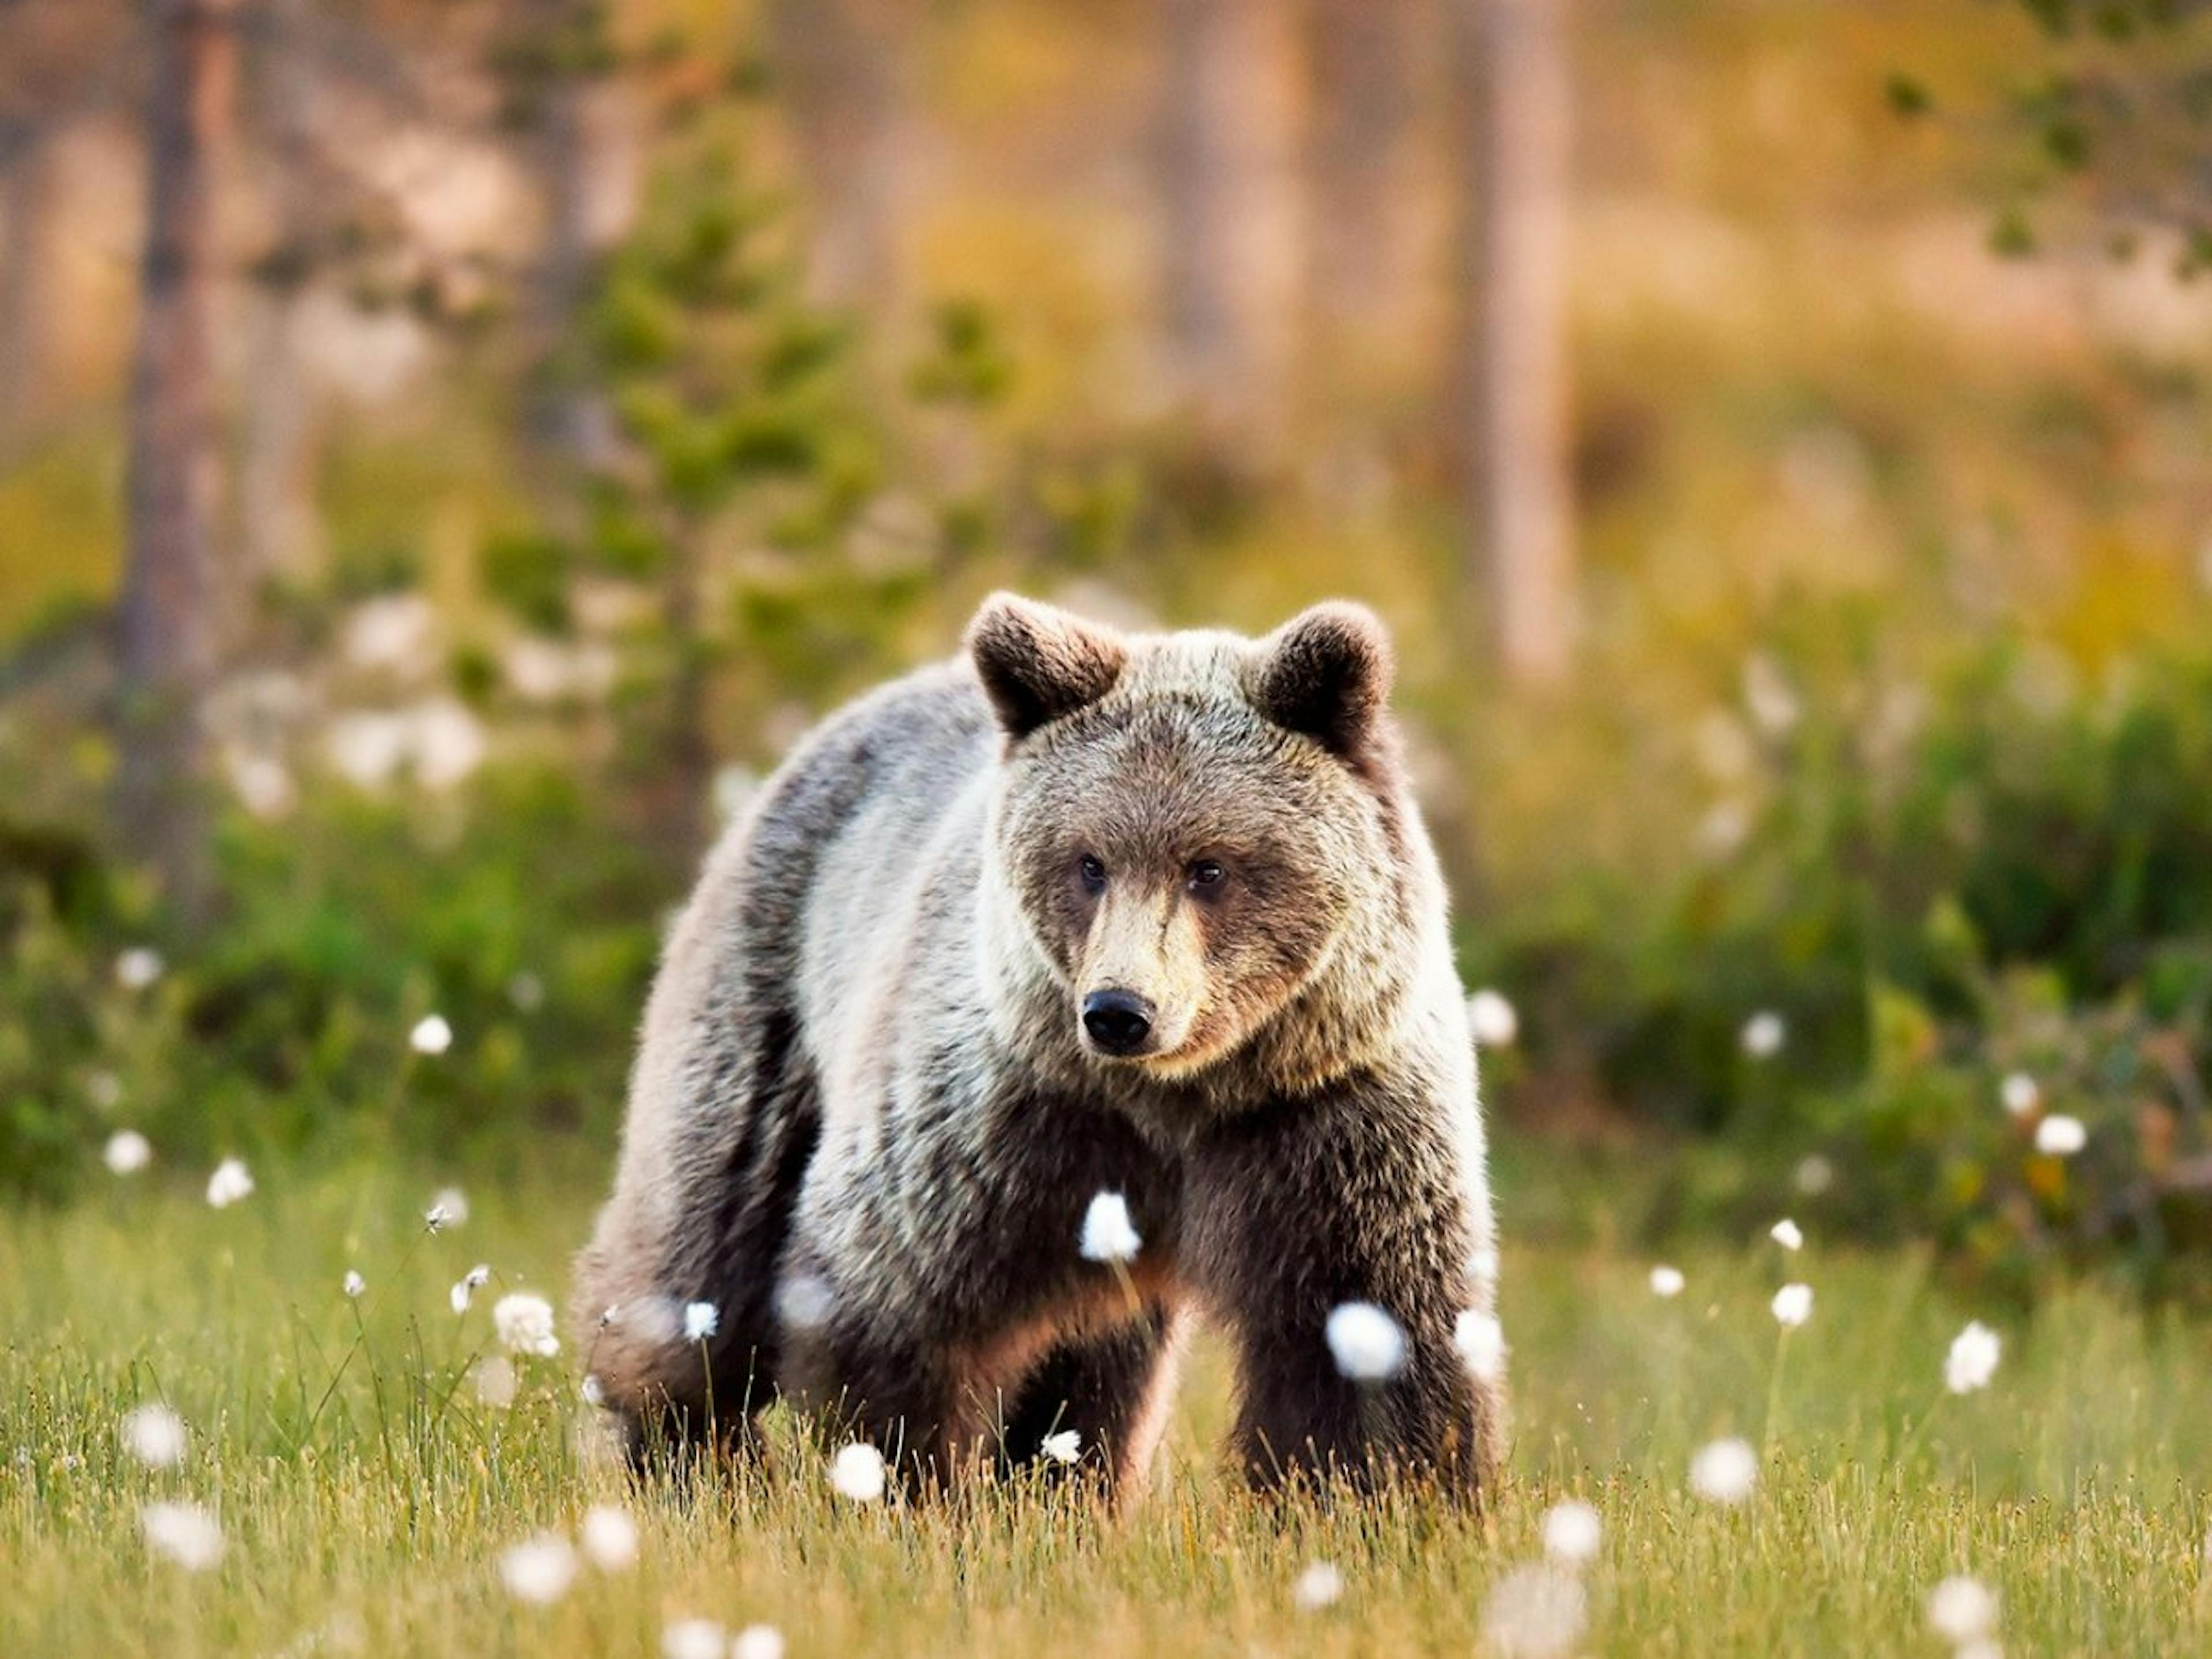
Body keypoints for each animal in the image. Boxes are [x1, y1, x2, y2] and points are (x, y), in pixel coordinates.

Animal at [570, 593, 1504, 1504]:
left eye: (1209, 866)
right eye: (1089, 862)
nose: (1119, 1011)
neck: (1177, 1096)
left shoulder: (1324, 1118)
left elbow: (1371, 1338)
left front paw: (1380, 1500)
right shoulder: (1006, 1120)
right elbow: (894, 1302)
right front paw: (918, 1490)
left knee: (1102, 1371)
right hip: (768, 1003)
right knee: (704, 1249)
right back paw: (693, 1459)